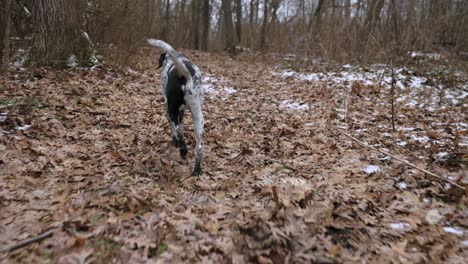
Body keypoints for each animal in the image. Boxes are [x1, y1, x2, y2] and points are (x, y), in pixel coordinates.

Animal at [147, 38, 204, 175]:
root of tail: (183, 77)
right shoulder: (181, 110)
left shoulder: (167, 107)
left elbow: (173, 128)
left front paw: (174, 141)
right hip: (198, 116)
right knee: (199, 147)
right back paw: (196, 170)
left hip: (172, 109)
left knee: (179, 132)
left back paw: (183, 150)